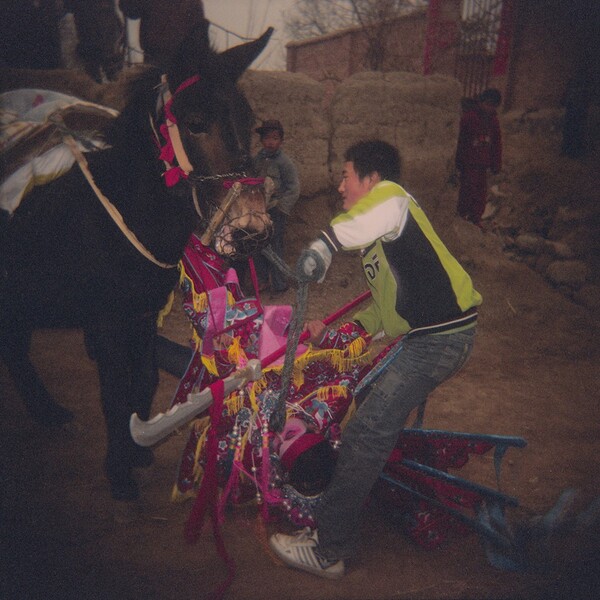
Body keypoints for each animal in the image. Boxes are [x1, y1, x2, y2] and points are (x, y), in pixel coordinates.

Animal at [0, 19, 274, 496]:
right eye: (196, 123)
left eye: (251, 123)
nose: (251, 227)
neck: (123, 214)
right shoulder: (107, 320)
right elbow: (114, 393)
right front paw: (119, 472)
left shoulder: (142, 315)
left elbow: (144, 380)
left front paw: (137, 450)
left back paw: (49, 413)